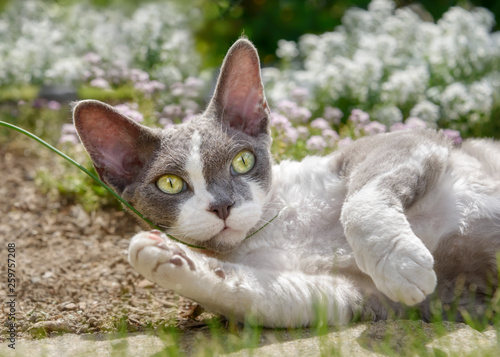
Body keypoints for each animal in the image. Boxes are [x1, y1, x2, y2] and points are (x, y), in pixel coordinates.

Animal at [73, 38, 500, 326]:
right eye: (171, 185)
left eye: (242, 161)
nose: (222, 205)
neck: (274, 228)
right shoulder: (348, 293)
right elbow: (257, 294)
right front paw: (167, 256)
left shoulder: (407, 142)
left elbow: (358, 202)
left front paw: (401, 264)